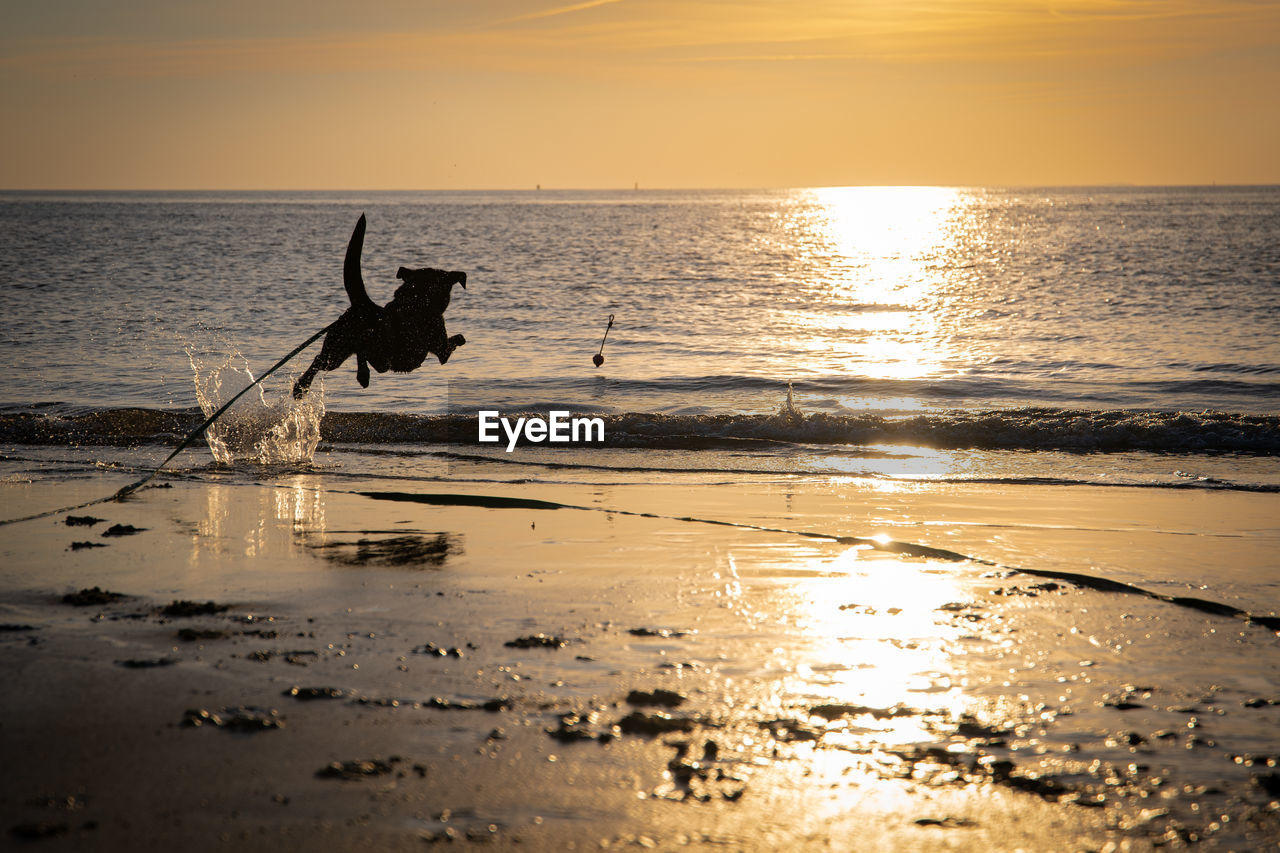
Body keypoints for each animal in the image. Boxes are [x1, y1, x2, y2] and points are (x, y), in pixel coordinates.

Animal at [293, 216, 468, 394]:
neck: (416, 302)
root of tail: (362, 306)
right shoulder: (441, 349)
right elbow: (456, 340)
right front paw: (461, 339)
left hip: (335, 351)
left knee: (321, 359)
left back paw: (302, 387)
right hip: (363, 352)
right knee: (360, 350)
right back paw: (360, 374)